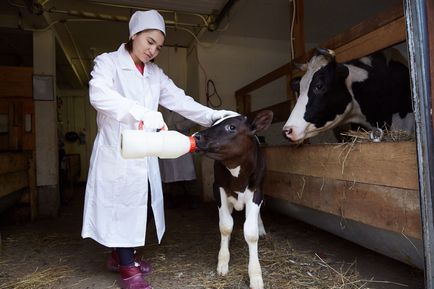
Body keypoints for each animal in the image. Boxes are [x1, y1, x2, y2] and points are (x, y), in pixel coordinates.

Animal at [192, 109, 272, 288]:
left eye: (231, 127)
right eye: (213, 123)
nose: (196, 136)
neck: (238, 178)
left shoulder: (257, 191)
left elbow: (251, 232)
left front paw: (255, 275)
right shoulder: (218, 188)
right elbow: (226, 226)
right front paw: (223, 260)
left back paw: (261, 226)